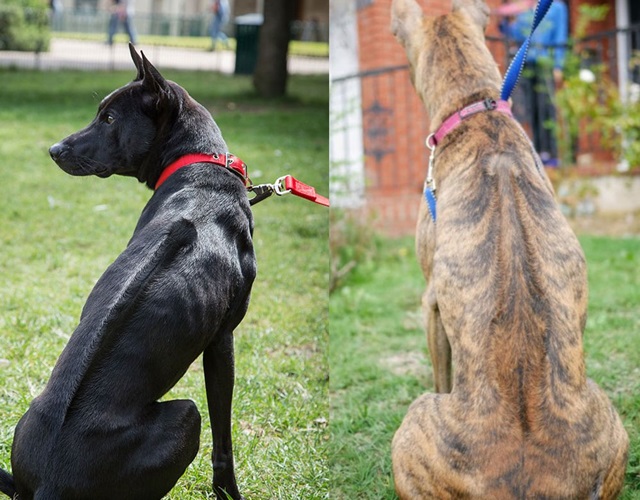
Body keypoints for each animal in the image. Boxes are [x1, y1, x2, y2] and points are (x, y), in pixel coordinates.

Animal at [0, 45, 255, 498]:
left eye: (110, 118)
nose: (53, 149)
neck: (201, 168)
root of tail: (48, 482)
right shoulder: (222, 340)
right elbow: (223, 441)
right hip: (187, 417)